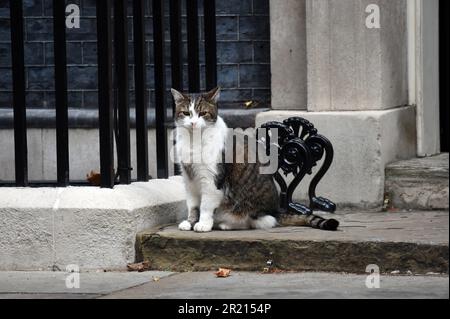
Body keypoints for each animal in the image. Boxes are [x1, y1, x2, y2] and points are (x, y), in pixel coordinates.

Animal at [171, 87, 338, 232]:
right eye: (186, 113)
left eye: (203, 113)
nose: (193, 123)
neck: (193, 141)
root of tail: (276, 211)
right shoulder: (189, 179)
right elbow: (192, 205)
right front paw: (190, 222)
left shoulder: (211, 180)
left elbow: (205, 205)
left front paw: (203, 224)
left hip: (249, 208)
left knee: (259, 221)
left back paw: (226, 224)